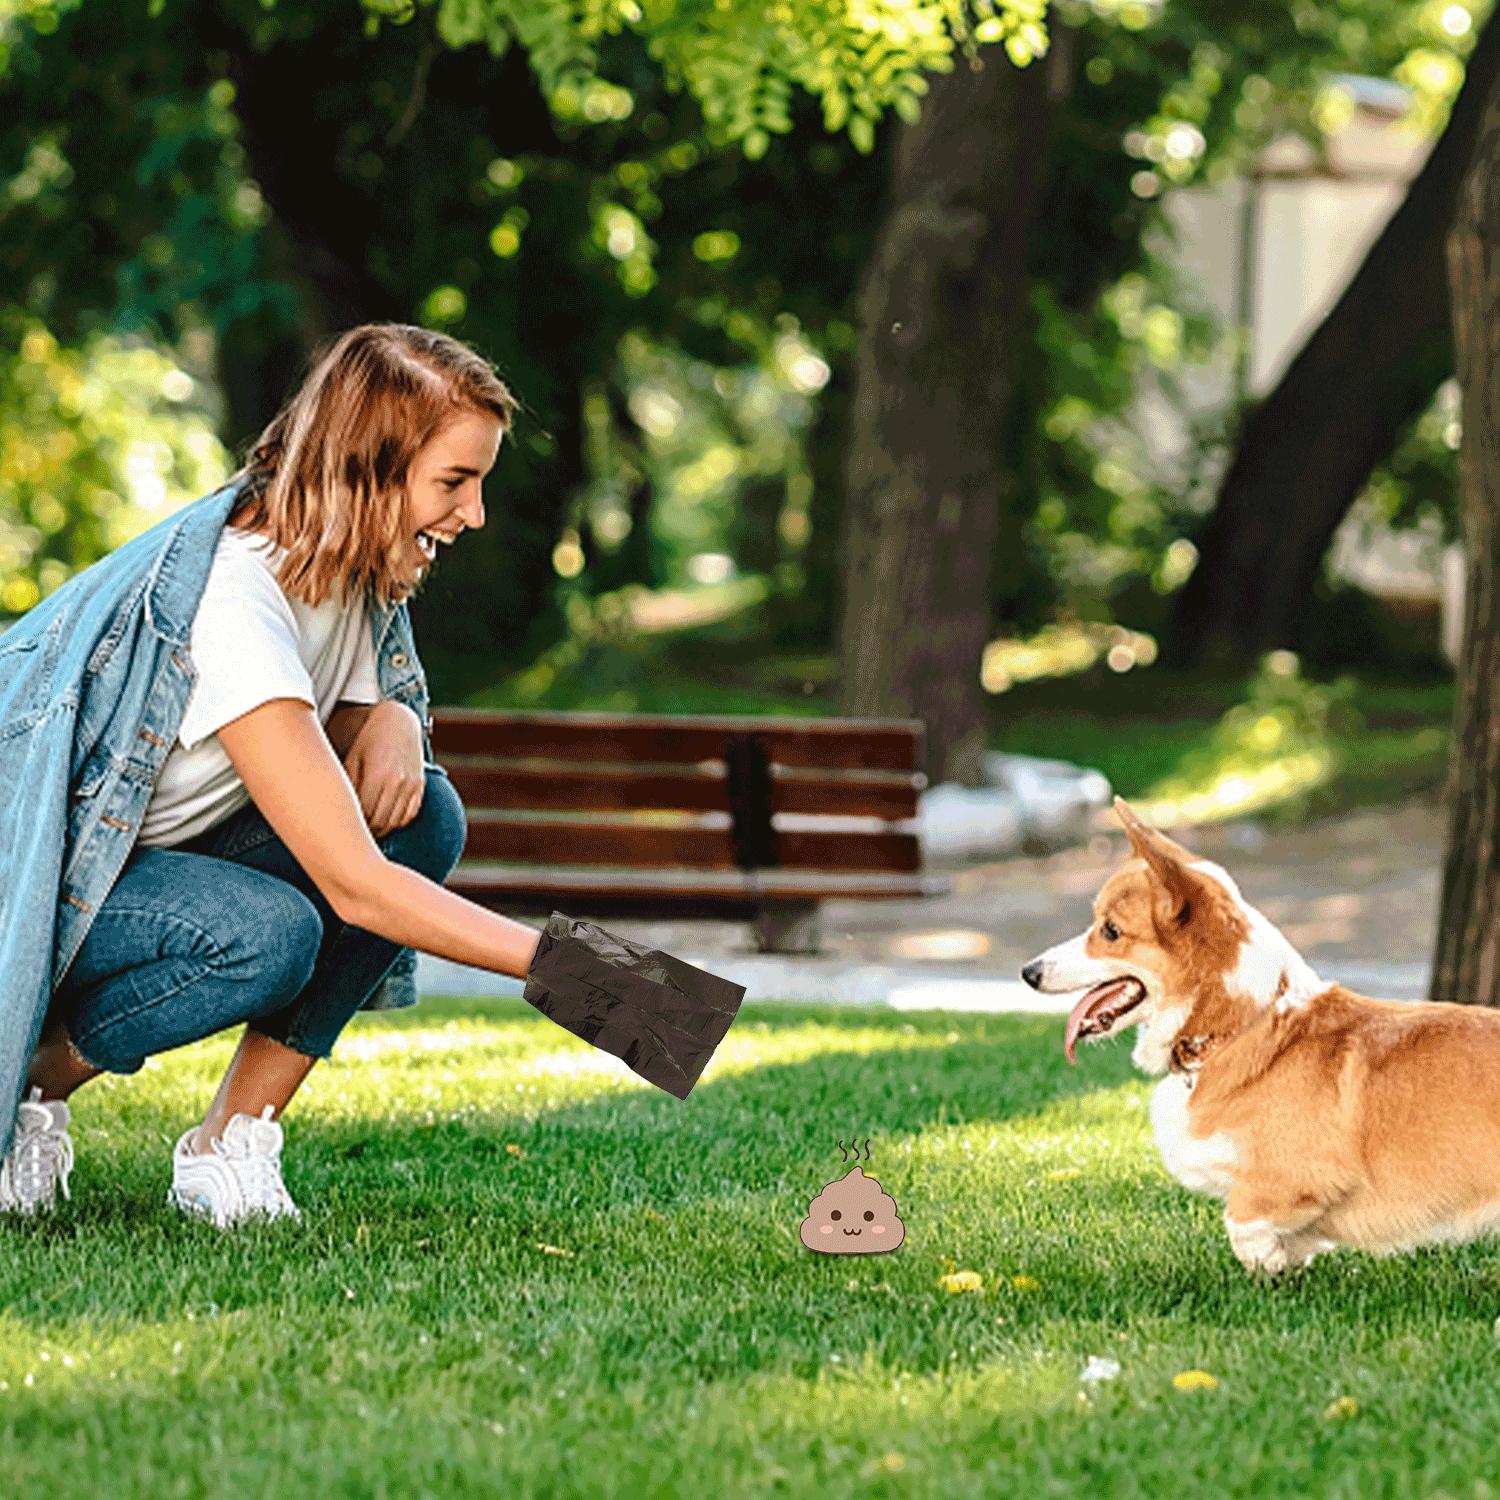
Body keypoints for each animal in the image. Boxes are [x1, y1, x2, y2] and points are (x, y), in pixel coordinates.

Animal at [1026, 798, 1500, 1278]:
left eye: (1110, 931)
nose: (1029, 972)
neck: (1242, 1027)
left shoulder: (1295, 1179)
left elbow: (1240, 1219)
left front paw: (1267, 1263)